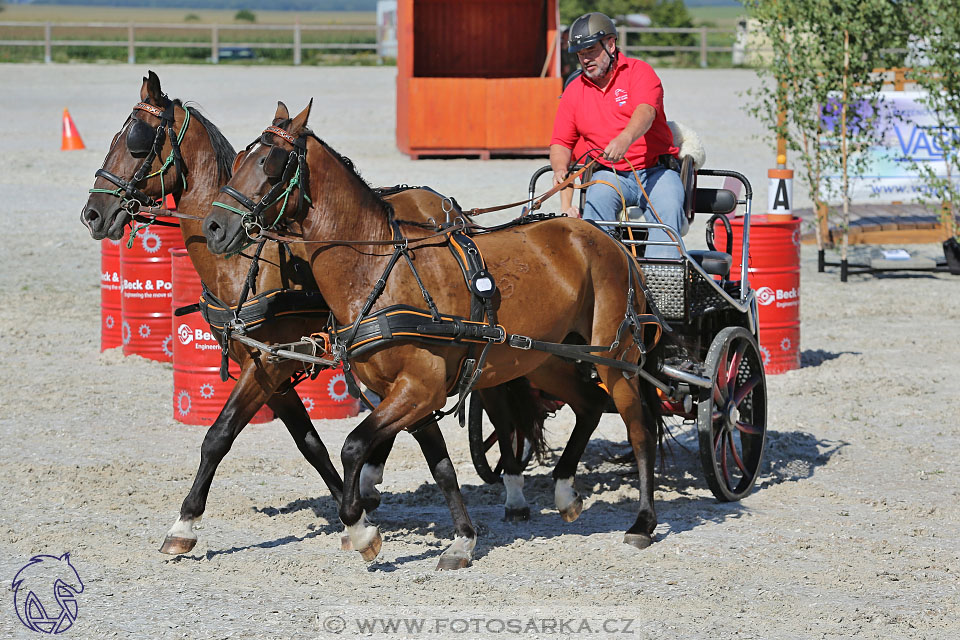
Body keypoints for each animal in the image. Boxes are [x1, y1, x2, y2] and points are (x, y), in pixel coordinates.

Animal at [205, 102, 664, 568]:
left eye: (271, 164)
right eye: (239, 161)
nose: (214, 227)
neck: (378, 268)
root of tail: (610, 240)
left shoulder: (419, 388)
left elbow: (353, 445)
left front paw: (360, 527)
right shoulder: (413, 393)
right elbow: (441, 467)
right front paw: (463, 539)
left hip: (616, 357)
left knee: (638, 428)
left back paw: (643, 522)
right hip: (547, 360)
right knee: (589, 404)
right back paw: (566, 491)